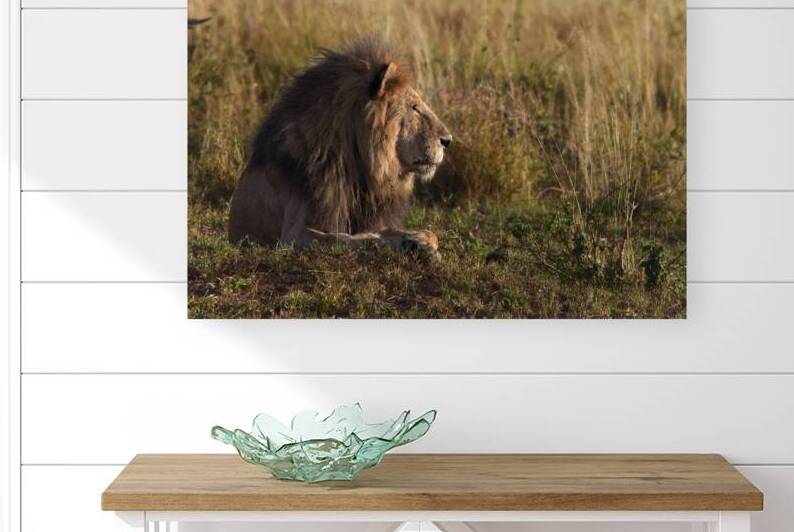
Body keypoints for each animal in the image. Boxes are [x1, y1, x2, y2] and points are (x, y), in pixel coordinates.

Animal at [228, 37, 452, 259]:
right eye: (415, 108)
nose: (448, 140)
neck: (358, 166)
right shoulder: (293, 235)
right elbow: (346, 238)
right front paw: (410, 244)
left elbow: (430, 233)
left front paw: (420, 240)